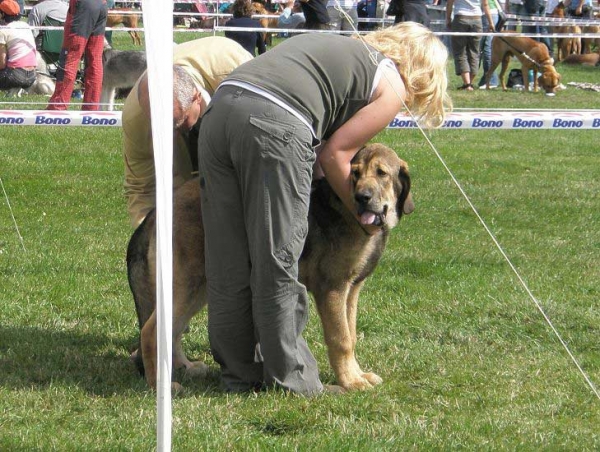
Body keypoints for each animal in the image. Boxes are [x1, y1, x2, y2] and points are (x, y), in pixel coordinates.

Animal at [128, 144, 414, 392]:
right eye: (355, 173)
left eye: (381, 173)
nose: (362, 197)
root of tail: (158, 211)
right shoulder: (332, 289)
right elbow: (341, 339)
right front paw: (349, 382)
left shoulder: (352, 290)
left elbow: (351, 335)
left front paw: (358, 374)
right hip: (186, 283)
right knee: (151, 331)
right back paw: (159, 385)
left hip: (199, 288)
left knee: (173, 329)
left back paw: (184, 367)